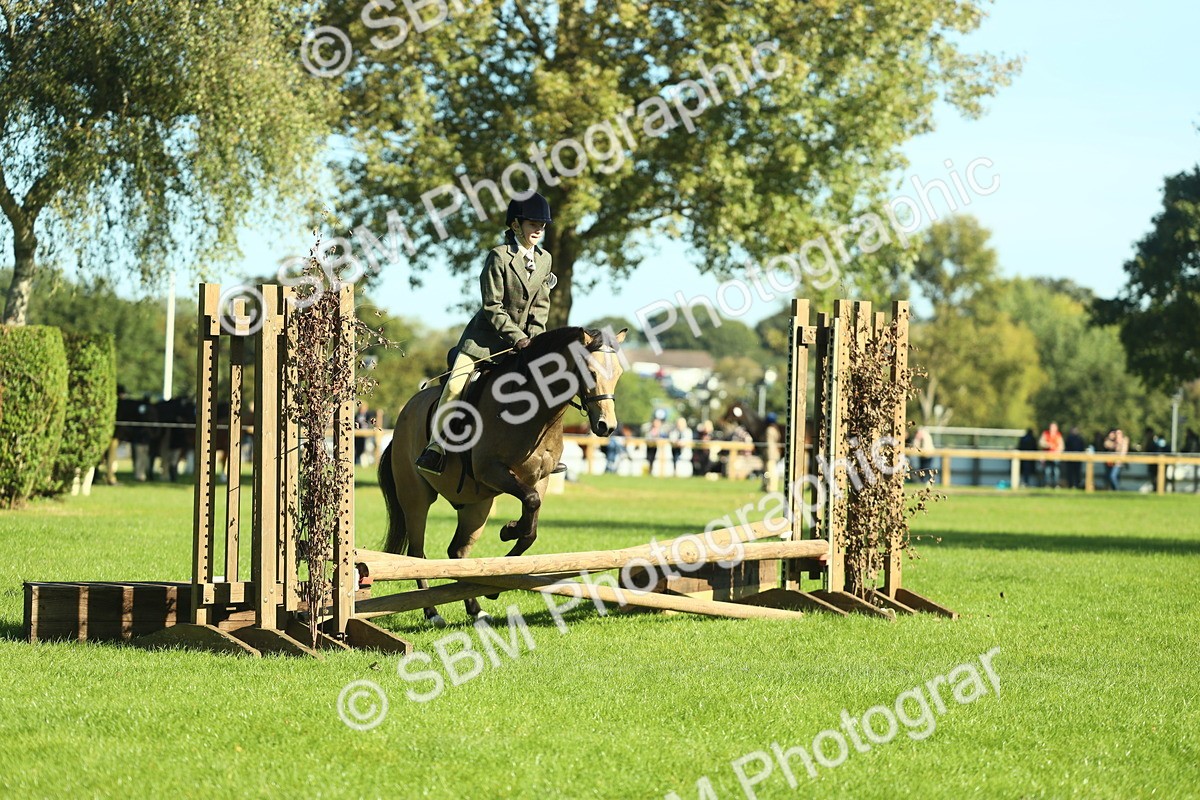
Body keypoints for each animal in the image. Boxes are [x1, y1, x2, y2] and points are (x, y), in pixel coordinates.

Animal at [377, 326, 628, 626]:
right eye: (590, 371)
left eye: (619, 373)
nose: (606, 426)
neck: (536, 411)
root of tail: (405, 412)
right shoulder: (492, 471)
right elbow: (530, 502)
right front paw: (509, 531)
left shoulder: (540, 478)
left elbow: (531, 527)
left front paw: (505, 554)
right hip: (415, 497)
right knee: (417, 553)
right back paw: (432, 612)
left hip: (476, 504)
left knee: (457, 552)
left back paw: (476, 608)